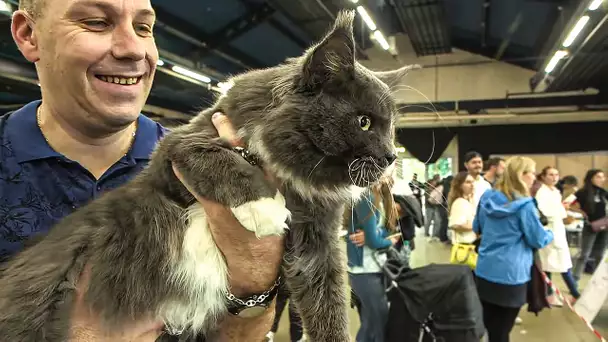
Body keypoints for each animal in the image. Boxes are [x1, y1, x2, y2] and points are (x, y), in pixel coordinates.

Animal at [0, 9, 416, 340]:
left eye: (392, 127)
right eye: (364, 122)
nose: (390, 156)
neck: (289, 170)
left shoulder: (318, 243)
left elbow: (328, 307)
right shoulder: (175, 150)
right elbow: (220, 159)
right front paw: (264, 207)